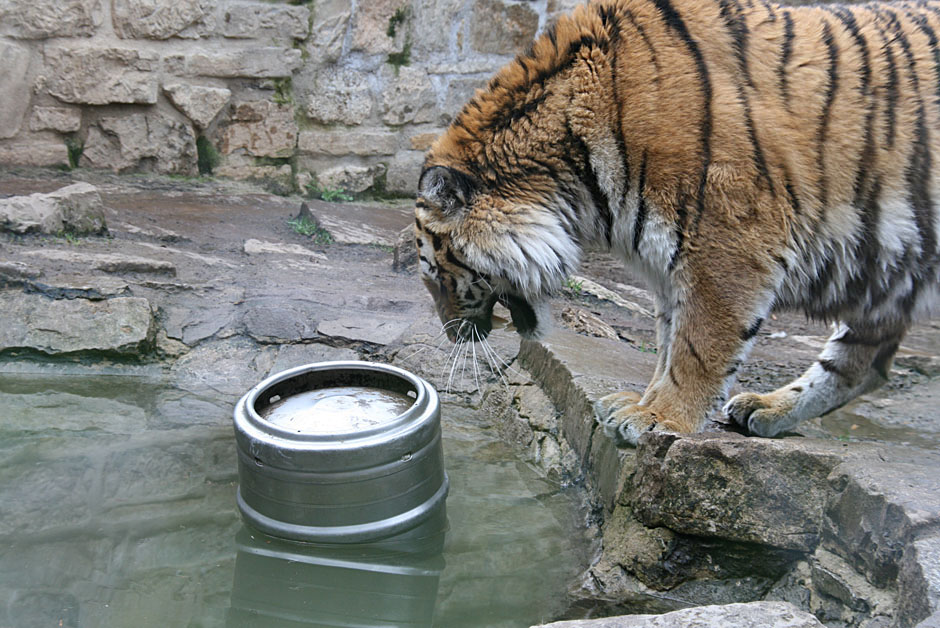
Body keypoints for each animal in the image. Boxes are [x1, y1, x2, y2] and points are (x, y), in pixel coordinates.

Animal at [414, 0, 940, 446]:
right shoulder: (667, 256)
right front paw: (640, 403)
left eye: (438, 273)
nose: (452, 336)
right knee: (859, 365)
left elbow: (699, 346)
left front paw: (661, 416)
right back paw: (767, 409)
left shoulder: (730, 241)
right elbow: (670, 337)